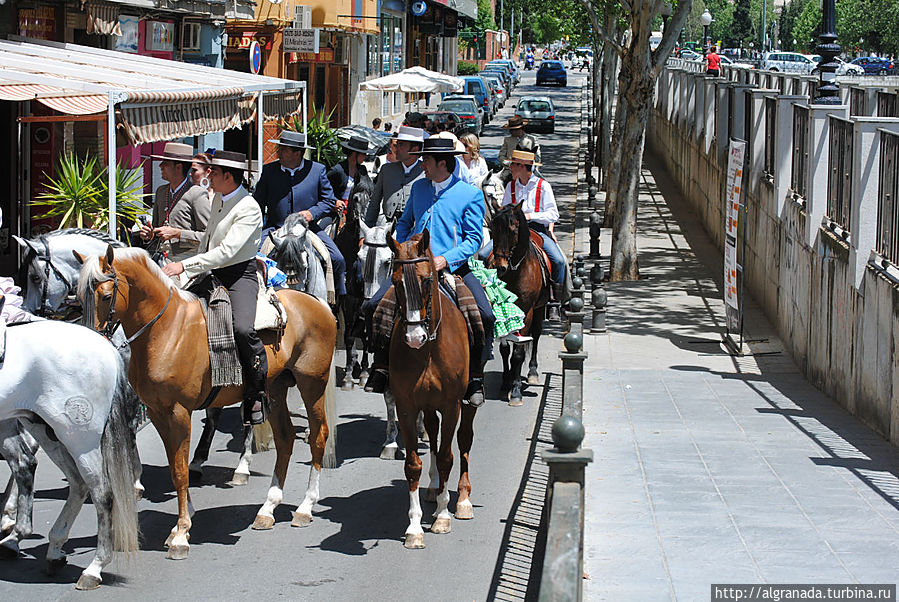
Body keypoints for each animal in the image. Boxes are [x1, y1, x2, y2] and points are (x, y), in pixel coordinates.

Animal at [0, 318, 139, 584]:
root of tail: (108, 348)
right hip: (45, 427)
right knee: (73, 481)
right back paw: (51, 548)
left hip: (78, 435)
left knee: (102, 491)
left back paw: (95, 567)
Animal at [76, 244, 338, 556]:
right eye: (79, 297)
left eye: (105, 296)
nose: (91, 343)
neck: (167, 330)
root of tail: (317, 303)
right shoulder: (157, 412)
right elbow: (176, 468)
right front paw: (182, 523)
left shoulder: (179, 412)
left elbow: (179, 471)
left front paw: (181, 533)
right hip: (275, 388)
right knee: (285, 439)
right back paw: (267, 509)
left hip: (312, 384)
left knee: (318, 436)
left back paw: (305, 507)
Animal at [384, 227, 478, 548]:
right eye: (395, 281)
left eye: (426, 280)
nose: (415, 337)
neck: (427, 351)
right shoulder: (407, 405)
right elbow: (413, 463)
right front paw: (414, 526)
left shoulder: (451, 406)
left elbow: (449, 456)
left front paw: (443, 516)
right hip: (426, 405)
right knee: (434, 437)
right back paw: (435, 487)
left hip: (466, 403)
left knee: (463, 440)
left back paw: (461, 499)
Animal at [488, 202, 552, 404]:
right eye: (492, 229)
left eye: (513, 229)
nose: (499, 267)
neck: (515, 271)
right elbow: (504, 349)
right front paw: (505, 384)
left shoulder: (527, 310)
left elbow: (518, 353)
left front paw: (515, 391)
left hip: (539, 309)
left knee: (536, 335)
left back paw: (532, 372)